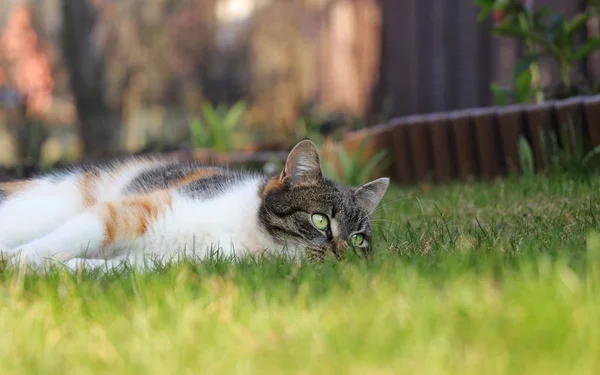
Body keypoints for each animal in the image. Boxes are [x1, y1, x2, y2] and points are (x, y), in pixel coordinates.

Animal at [0, 140, 390, 274]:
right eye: (320, 220)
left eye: (359, 240)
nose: (342, 253)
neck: (247, 236)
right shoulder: (130, 211)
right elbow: (67, 239)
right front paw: (22, 262)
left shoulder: (163, 263)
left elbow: (113, 268)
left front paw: (67, 270)